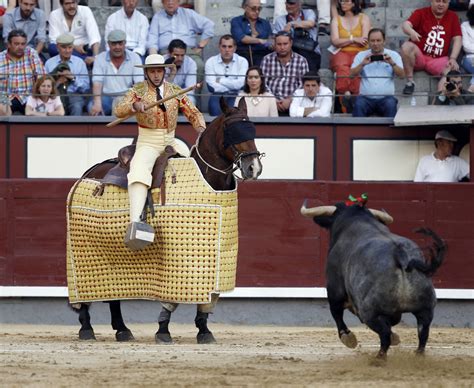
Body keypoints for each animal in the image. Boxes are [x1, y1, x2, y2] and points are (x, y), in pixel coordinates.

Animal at [70, 97, 264, 342]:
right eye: (232, 129)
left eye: (252, 128)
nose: (253, 168)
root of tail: (87, 173)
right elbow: (171, 301)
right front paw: (163, 330)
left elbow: (208, 301)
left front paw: (204, 330)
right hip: (83, 248)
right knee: (85, 295)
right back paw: (86, 328)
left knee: (112, 293)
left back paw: (122, 329)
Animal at [302, 200, 446, 358]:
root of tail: (400, 254)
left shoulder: (335, 290)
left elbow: (336, 313)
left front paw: (348, 338)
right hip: (426, 308)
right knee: (423, 334)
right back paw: (417, 355)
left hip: (369, 312)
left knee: (384, 335)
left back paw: (379, 358)